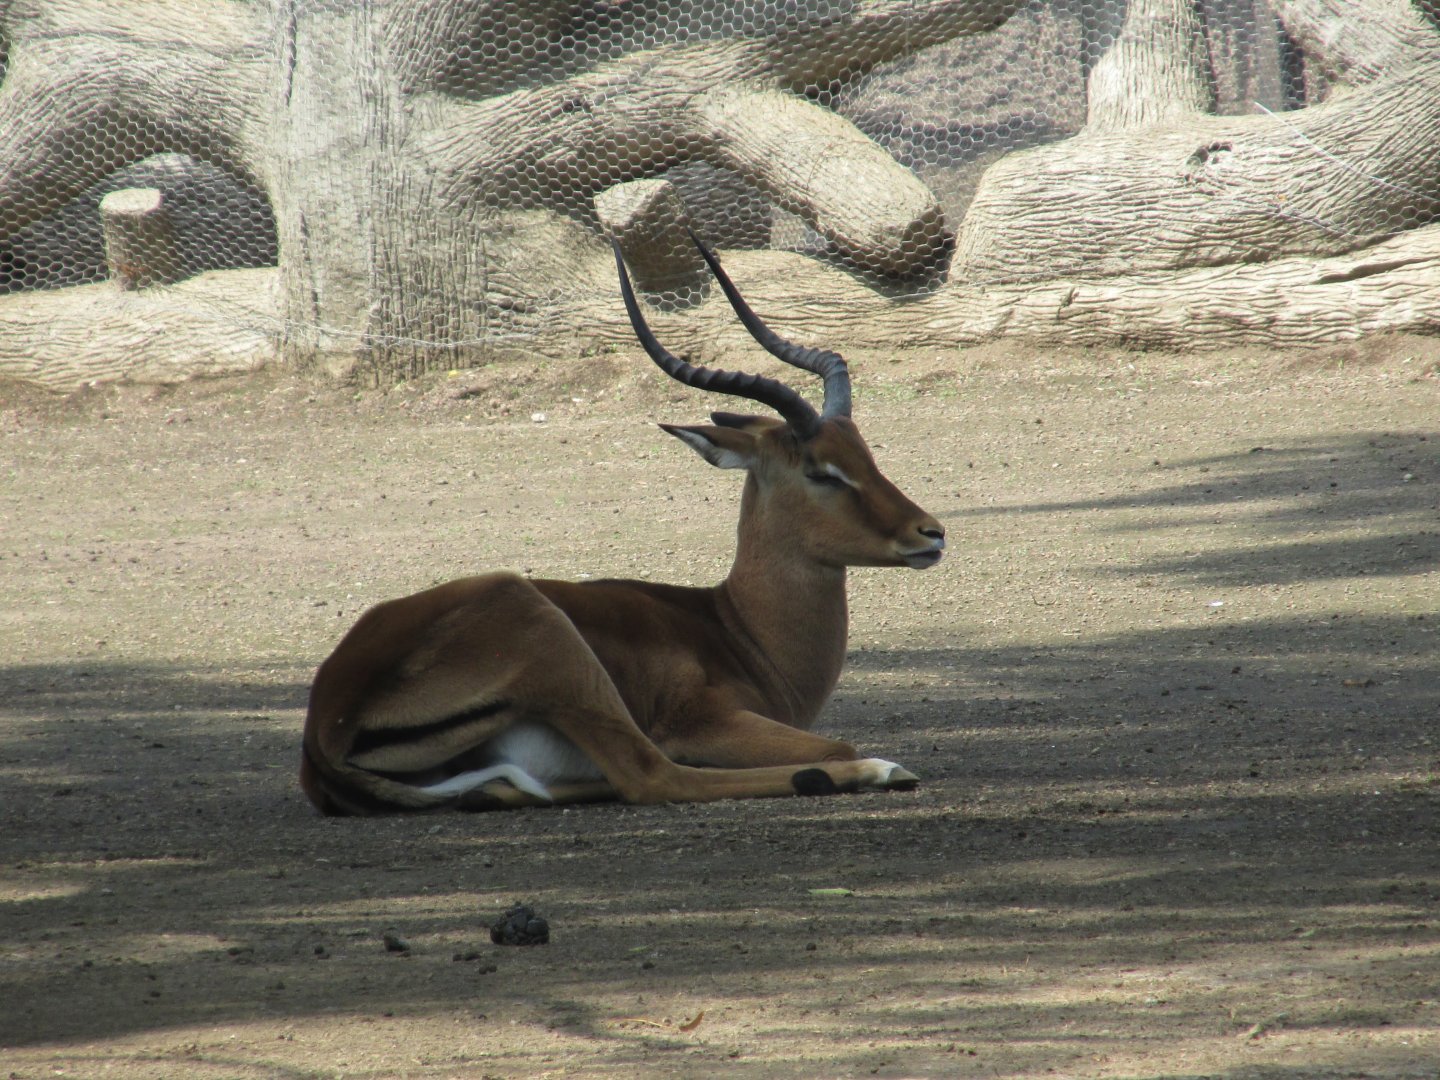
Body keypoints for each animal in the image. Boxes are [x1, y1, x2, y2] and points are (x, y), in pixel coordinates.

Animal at [299, 234, 945, 815]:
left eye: (865, 453)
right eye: (821, 472)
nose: (930, 533)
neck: (739, 631)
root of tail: (324, 732)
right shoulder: (703, 720)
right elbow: (835, 741)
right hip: (555, 647)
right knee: (653, 776)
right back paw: (880, 770)